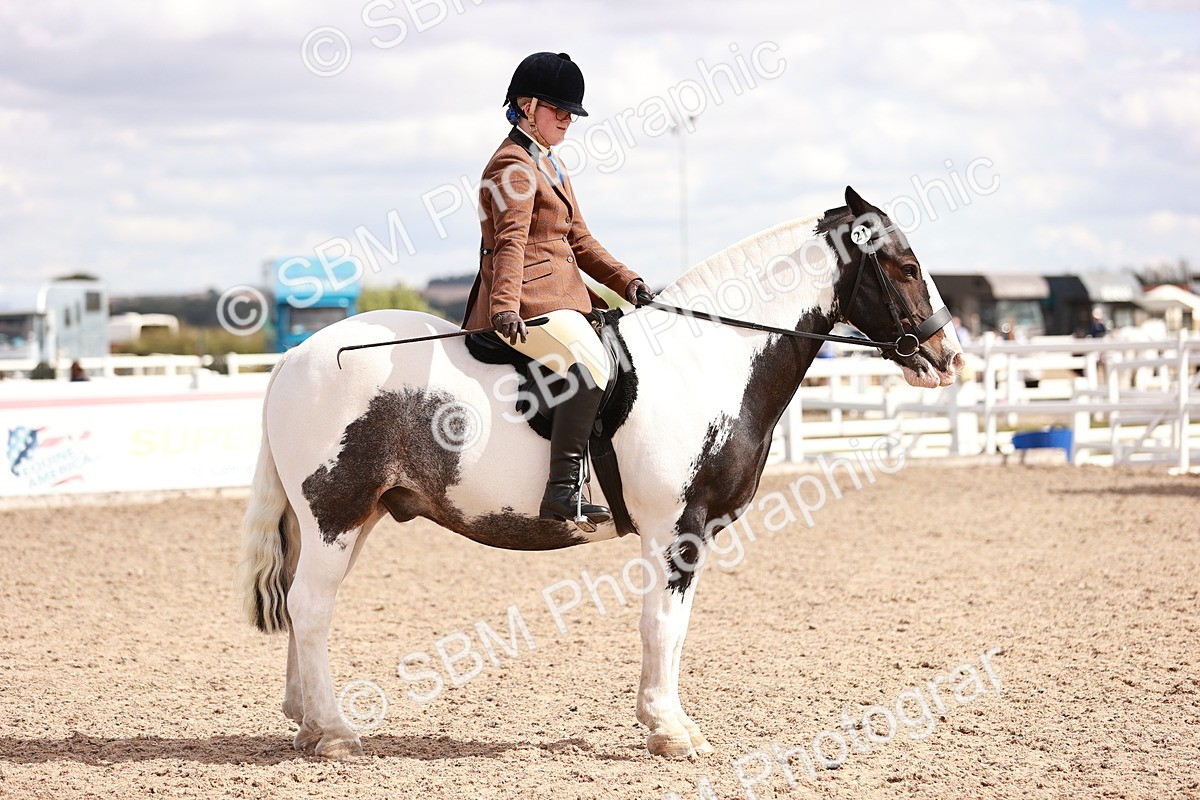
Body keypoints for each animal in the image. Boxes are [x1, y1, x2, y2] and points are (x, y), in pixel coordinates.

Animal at [238, 186, 964, 760]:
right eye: (905, 266)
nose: (948, 354)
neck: (706, 361)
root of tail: (296, 357)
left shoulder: (692, 533)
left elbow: (677, 627)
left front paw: (668, 723)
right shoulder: (675, 529)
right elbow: (660, 625)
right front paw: (670, 732)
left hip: (349, 518)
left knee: (305, 605)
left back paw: (306, 723)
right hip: (335, 513)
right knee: (311, 607)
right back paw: (335, 733)